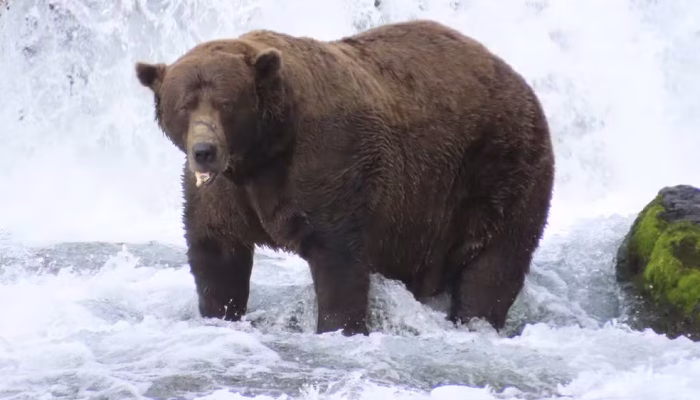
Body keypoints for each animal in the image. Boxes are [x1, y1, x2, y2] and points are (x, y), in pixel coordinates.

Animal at [134, 19, 555, 336]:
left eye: (225, 103)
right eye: (184, 105)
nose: (204, 150)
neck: (263, 152)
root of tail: (519, 81)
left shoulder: (329, 163)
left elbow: (338, 258)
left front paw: (339, 327)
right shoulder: (225, 192)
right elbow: (217, 251)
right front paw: (220, 312)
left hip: (498, 168)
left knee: (495, 261)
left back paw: (475, 319)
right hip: (424, 216)